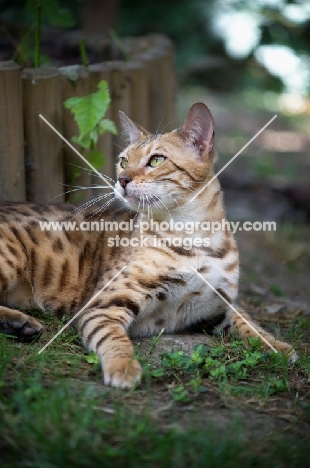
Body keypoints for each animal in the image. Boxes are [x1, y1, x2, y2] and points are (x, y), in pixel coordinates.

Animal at [0, 104, 296, 390]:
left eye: (156, 160)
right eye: (123, 161)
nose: (121, 179)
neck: (194, 239)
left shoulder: (218, 305)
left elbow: (249, 323)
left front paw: (278, 346)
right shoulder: (103, 305)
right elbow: (114, 339)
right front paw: (123, 367)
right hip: (11, 255)